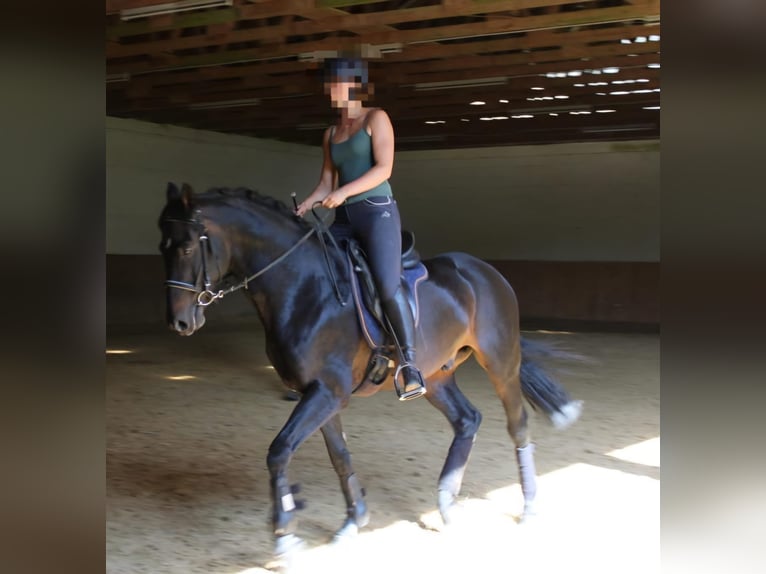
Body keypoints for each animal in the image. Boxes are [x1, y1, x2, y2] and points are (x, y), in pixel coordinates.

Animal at [160, 183, 584, 564]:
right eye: (162, 247)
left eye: (186, 247)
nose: (179, 322)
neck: (304, 287)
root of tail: (485, 272)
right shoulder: (322, 393)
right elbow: (340, 456)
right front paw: (353, 521)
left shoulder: (326, 391)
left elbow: (279, 451)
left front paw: (284, 538)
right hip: (436, 376)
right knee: (467, 419)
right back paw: (446, 501)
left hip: (500, 363)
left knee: (518, 425)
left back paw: (528, 505)